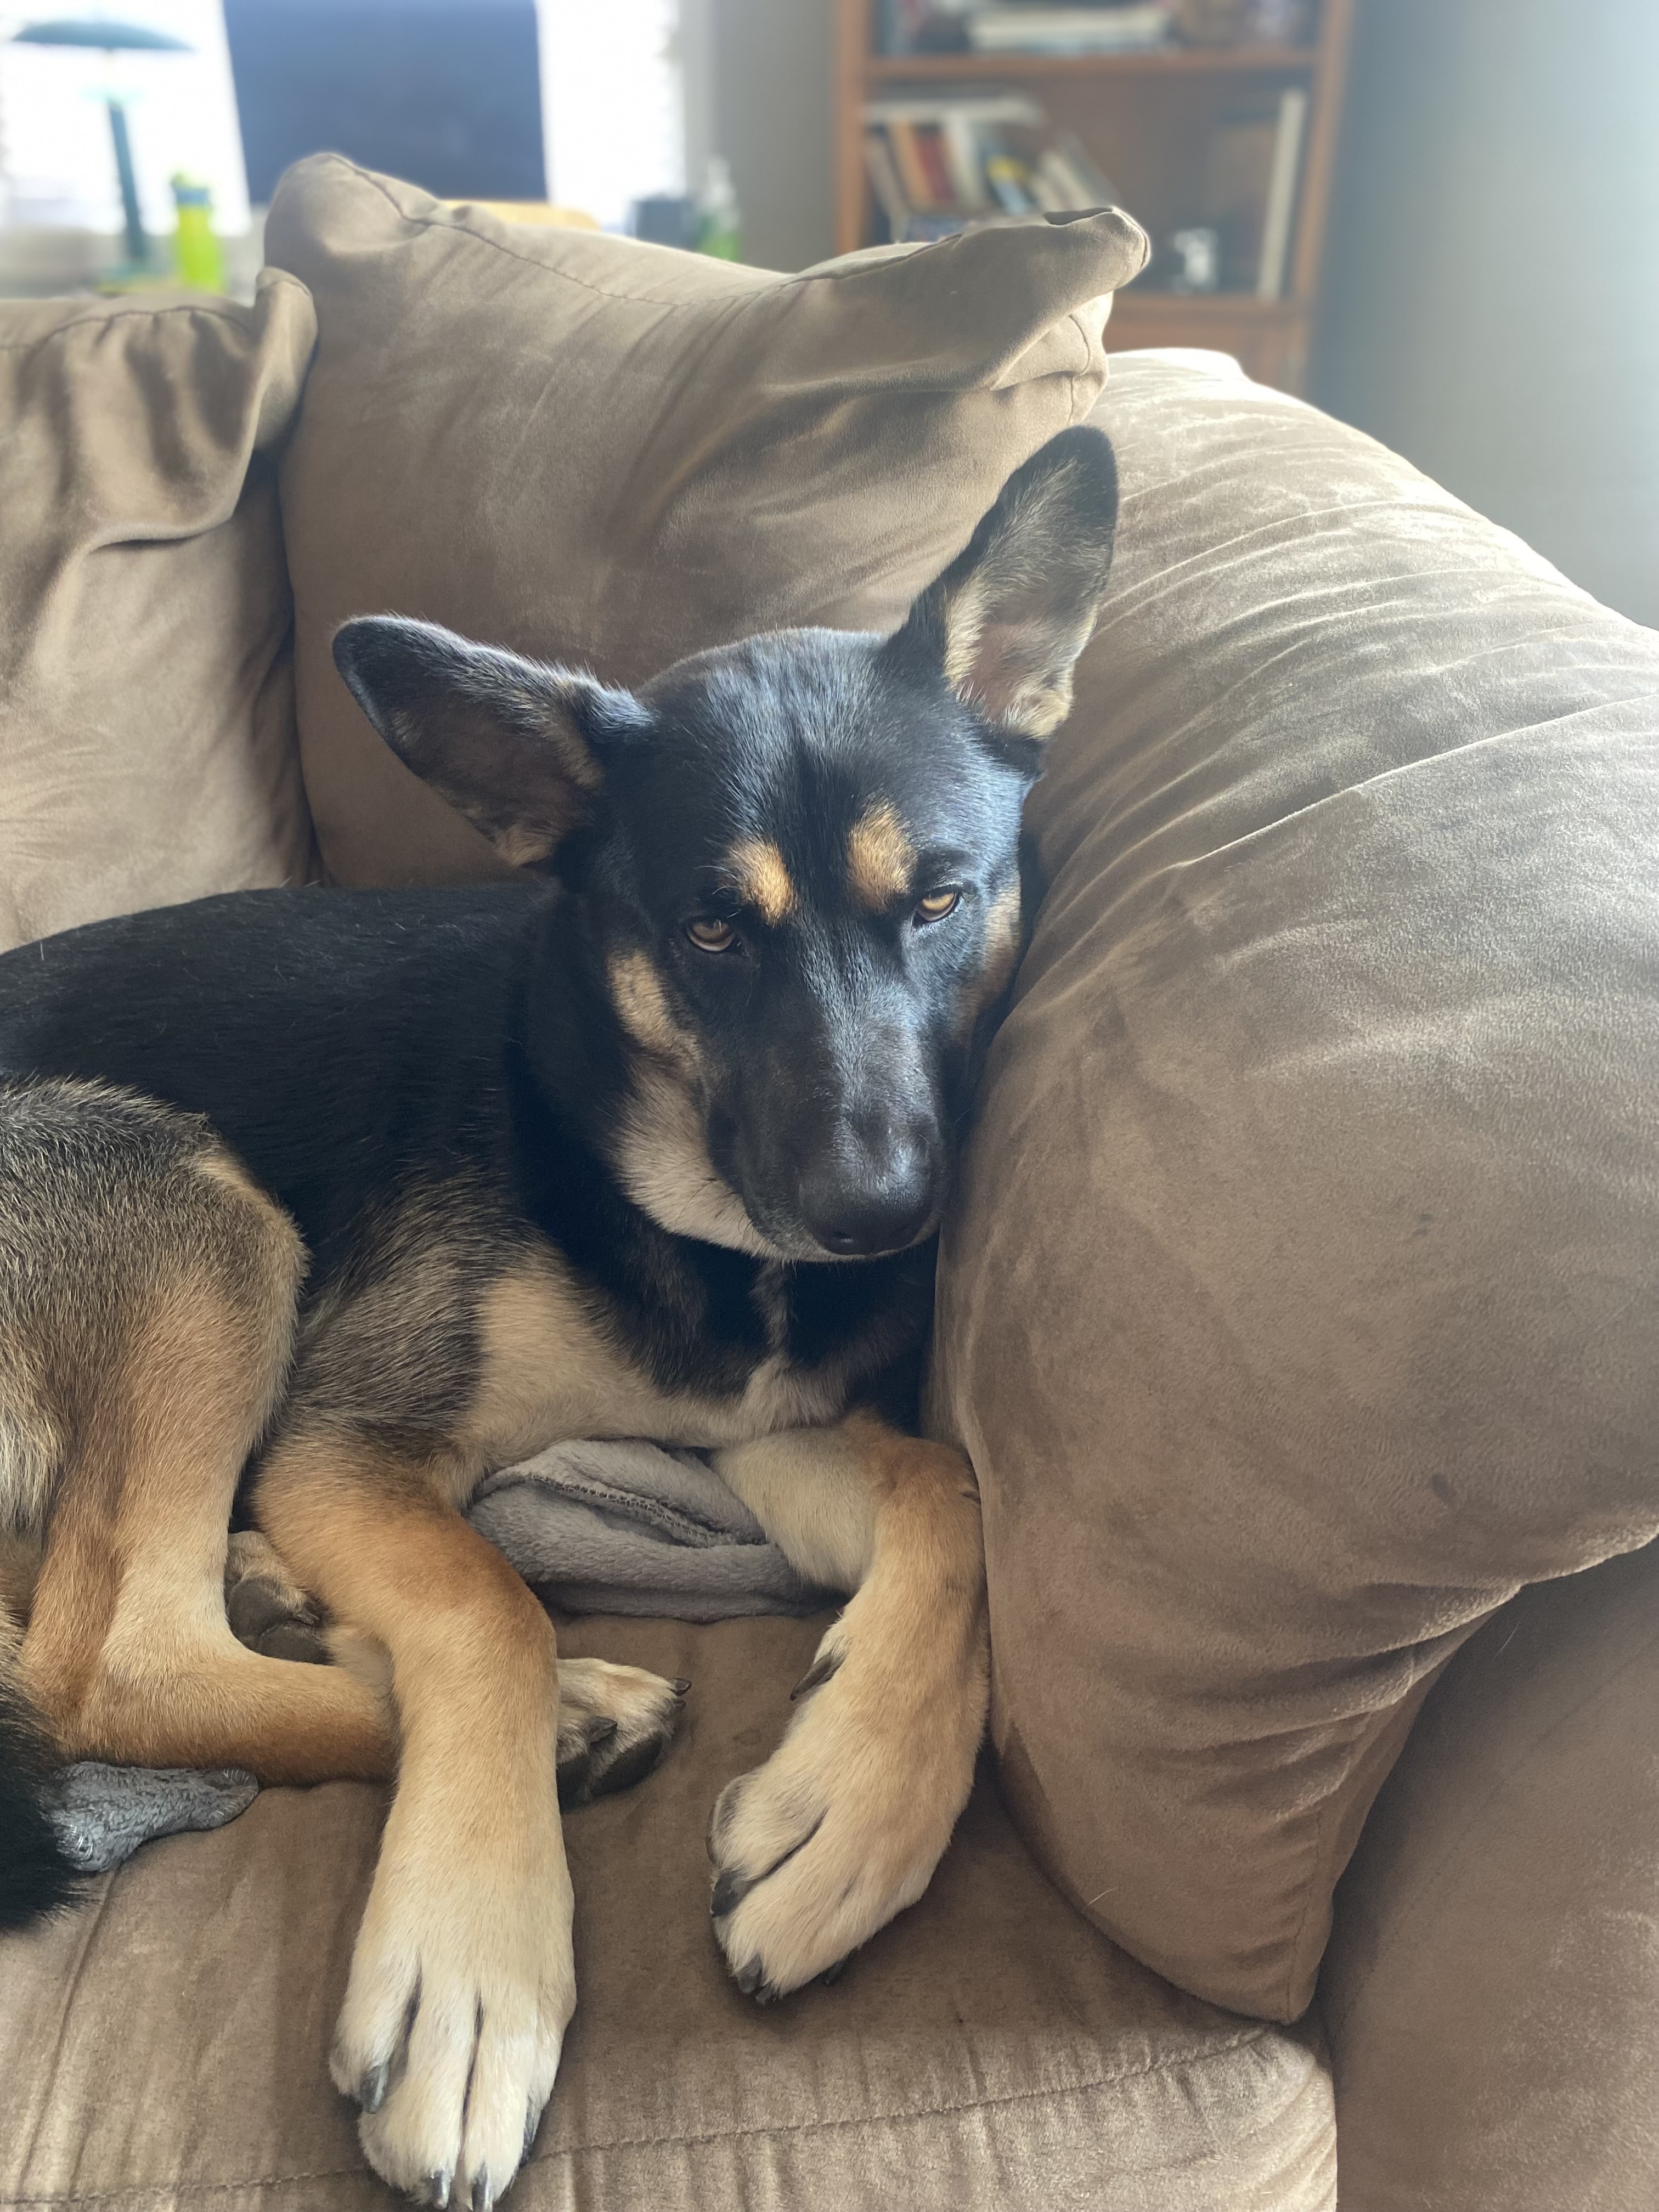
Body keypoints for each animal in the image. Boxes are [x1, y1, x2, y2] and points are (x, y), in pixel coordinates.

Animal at [3, 422, 1119, 2203]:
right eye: (712, 929)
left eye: (941, 902)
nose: (878, 1216)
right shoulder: (349, 1438)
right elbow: (488, 1610)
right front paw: (474, 1974)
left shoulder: (757, 1434)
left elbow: (943, 1492)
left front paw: (858, 1804)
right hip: (191, 1206)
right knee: (107, 1662)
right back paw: (557, 1712)